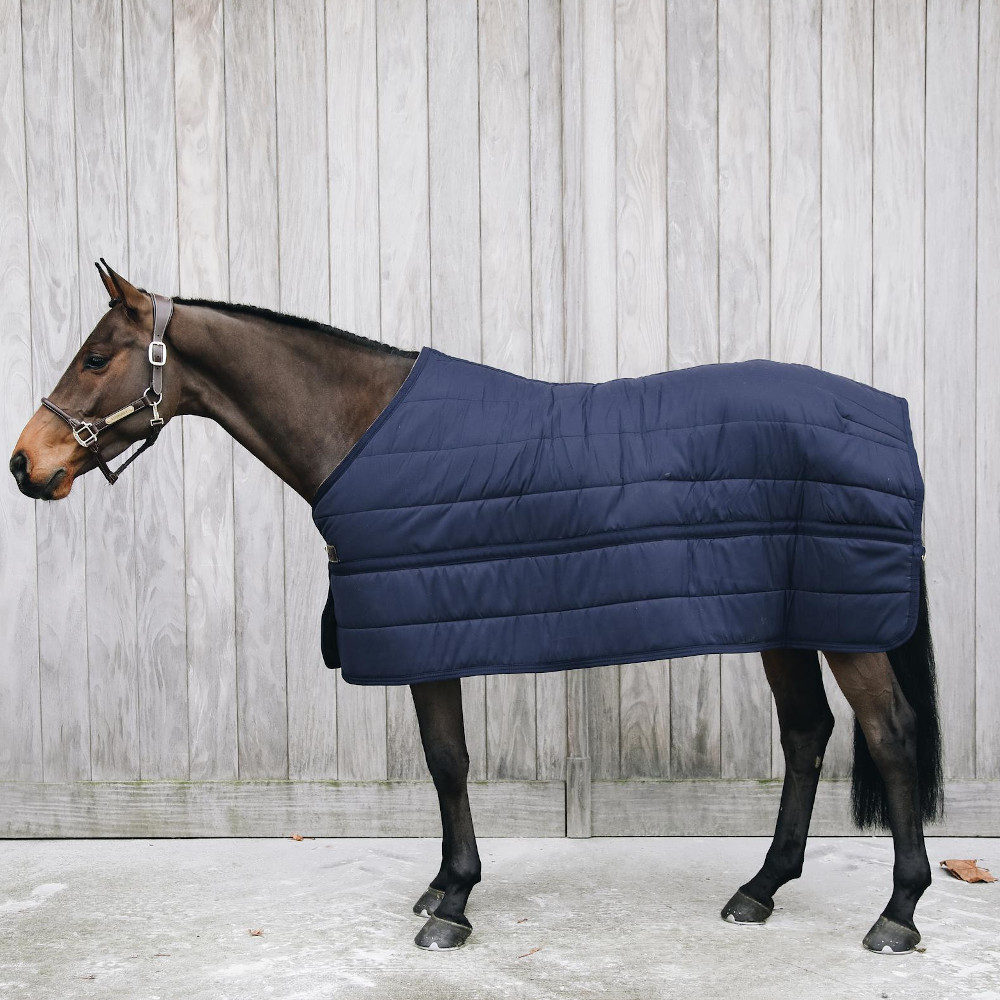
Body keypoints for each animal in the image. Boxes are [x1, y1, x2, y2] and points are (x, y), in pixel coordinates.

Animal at [11, 263, 942, 954]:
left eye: (96, 357)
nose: (25, 462)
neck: (364, 429)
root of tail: (887, 416)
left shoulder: (427, 633)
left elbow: (448, 762)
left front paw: (453, 902)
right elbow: (444, 761)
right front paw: (442, 888)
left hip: (841, 627)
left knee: (890, 736)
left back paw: (897, 914)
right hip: (791, 618)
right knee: (807, 733)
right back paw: (759, 890)